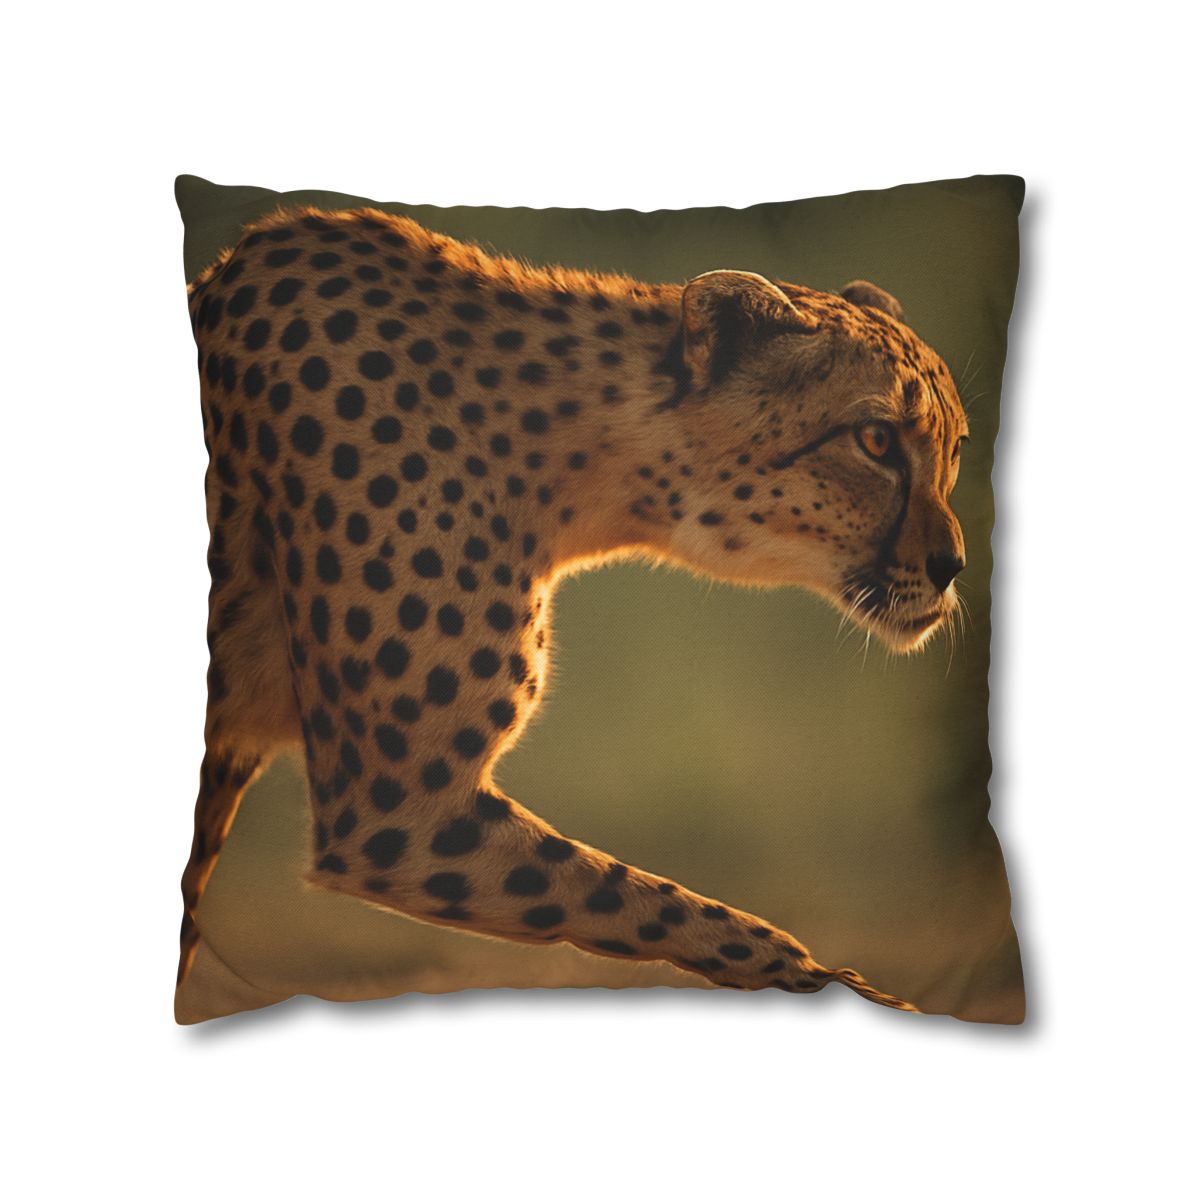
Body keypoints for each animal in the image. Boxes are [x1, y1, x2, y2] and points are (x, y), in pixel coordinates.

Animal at [179, 206, 969, 1014]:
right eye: (875, 440)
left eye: (956, 447)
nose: (953, 567)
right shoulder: (393, 814)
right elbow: (663, 905)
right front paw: (854, 994)